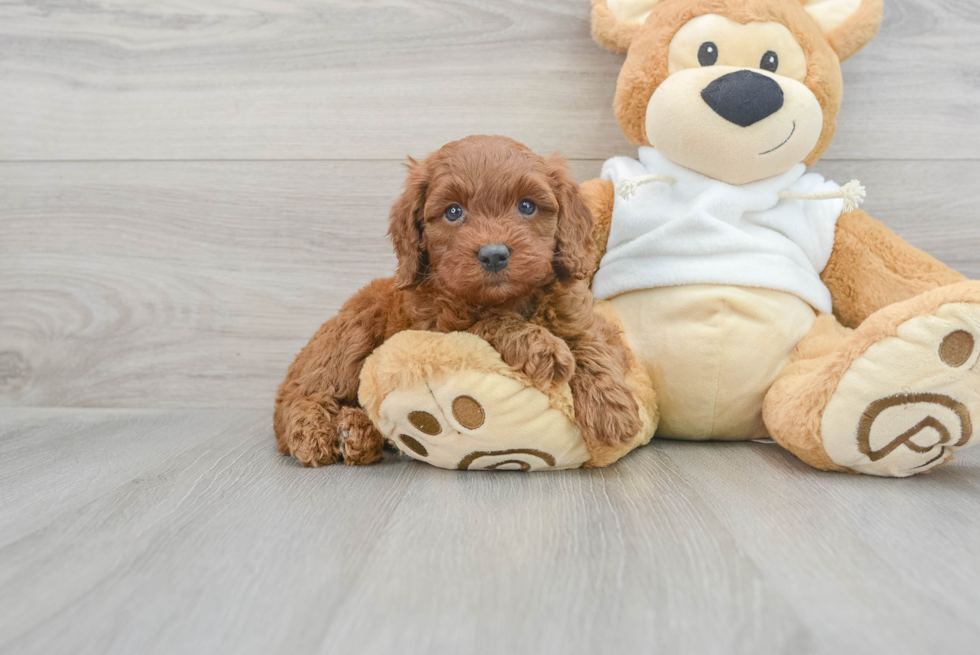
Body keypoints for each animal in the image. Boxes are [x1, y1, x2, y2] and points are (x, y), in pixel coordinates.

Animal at [276, 136, 644, 468]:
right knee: (298, 395)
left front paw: (613, 411)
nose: (494, 254)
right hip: (352, 333)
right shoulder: (436, 328)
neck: (509, 298)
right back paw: (317, 435)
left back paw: (358, 430)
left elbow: (592, 346)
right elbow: (487, 323)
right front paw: (541, 347)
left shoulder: (582, 317)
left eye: (527, 206)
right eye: (453, 212)